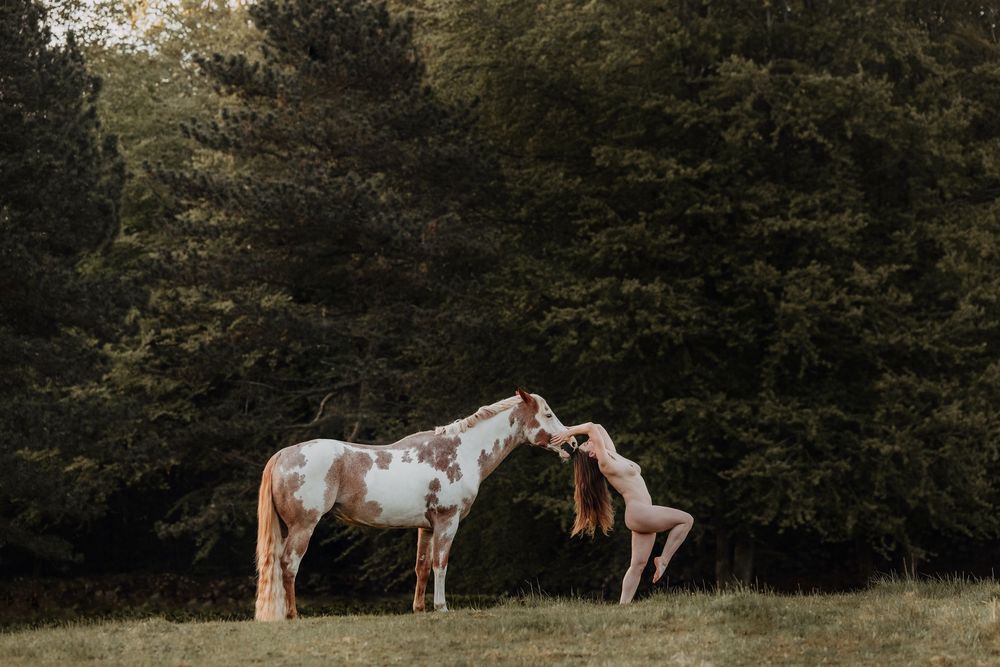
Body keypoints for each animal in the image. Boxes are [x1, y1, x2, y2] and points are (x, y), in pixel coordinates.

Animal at [254, 389, 575, 620]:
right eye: (548, 414)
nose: (571, 445)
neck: (459, 452)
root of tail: (284, 454)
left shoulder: (427, 527)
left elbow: (422, 566)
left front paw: (419, 608)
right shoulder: (447, 521)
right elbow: (440, 563)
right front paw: (441, 607)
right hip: (303, 526)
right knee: (289, 565)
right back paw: (293, 615)